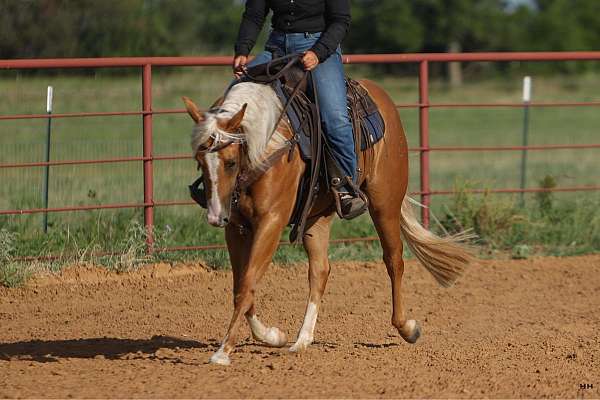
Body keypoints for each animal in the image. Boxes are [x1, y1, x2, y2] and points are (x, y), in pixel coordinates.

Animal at [183, 78, 474, 366]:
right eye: (199, 161)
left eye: (231, 162)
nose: (215, 216)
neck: (267, 146)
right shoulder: (236, 229)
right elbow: (241, 284)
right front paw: (272, 336)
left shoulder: (271, 222)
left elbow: (247, 283)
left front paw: (223, 351)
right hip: (316, 218)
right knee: (320, 270)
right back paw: (302, 340)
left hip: (385, 204)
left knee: (394, 261)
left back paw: (407, 327)